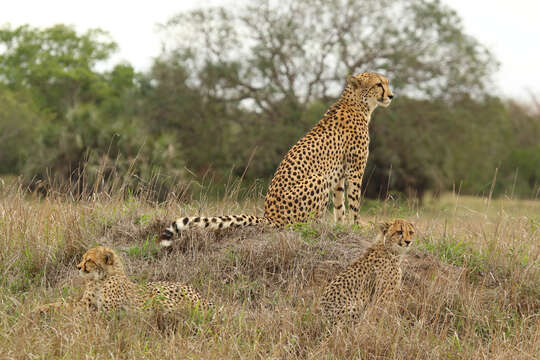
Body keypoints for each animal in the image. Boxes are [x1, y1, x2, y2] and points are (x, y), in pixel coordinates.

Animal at [34, 246, 210, 316]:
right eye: (83, 258)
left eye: (89, 260)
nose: (78, 267)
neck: (100, 278)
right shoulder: (85, 303)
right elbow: (62, 304)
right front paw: (40, 309)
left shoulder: (107, 310)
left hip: (159, 297)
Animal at [158, 73, 394, 248]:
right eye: (379, 84)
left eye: (387, 82)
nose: (392, 95)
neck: (358, 104)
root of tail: (269, 216)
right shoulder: (354, 170)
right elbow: (354, 202)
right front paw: (357, 226)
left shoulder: (339, 176)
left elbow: (340, 205)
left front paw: (342, 226)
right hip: (318, 179)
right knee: (298, 225)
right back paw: (315, 228)